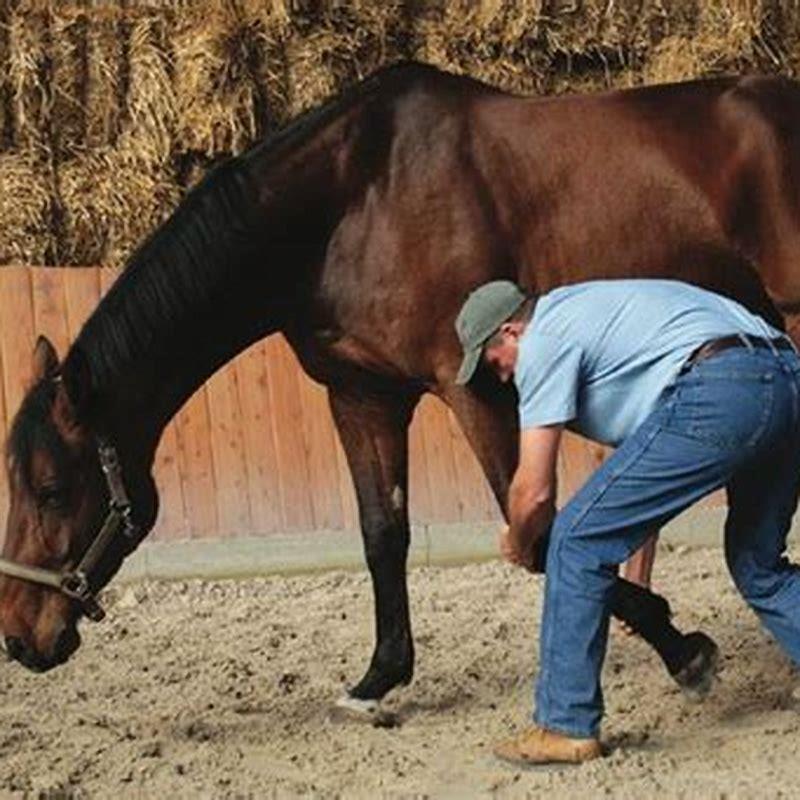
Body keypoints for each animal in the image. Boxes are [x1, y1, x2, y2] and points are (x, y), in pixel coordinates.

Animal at [0, 62, 796, 719]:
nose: (18, 637)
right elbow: (383, 534)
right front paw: (379, 677)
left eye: (50, 489)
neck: (354, 201)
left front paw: (681, 647)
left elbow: (536, 532)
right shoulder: (363, 395)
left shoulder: (477, 388)